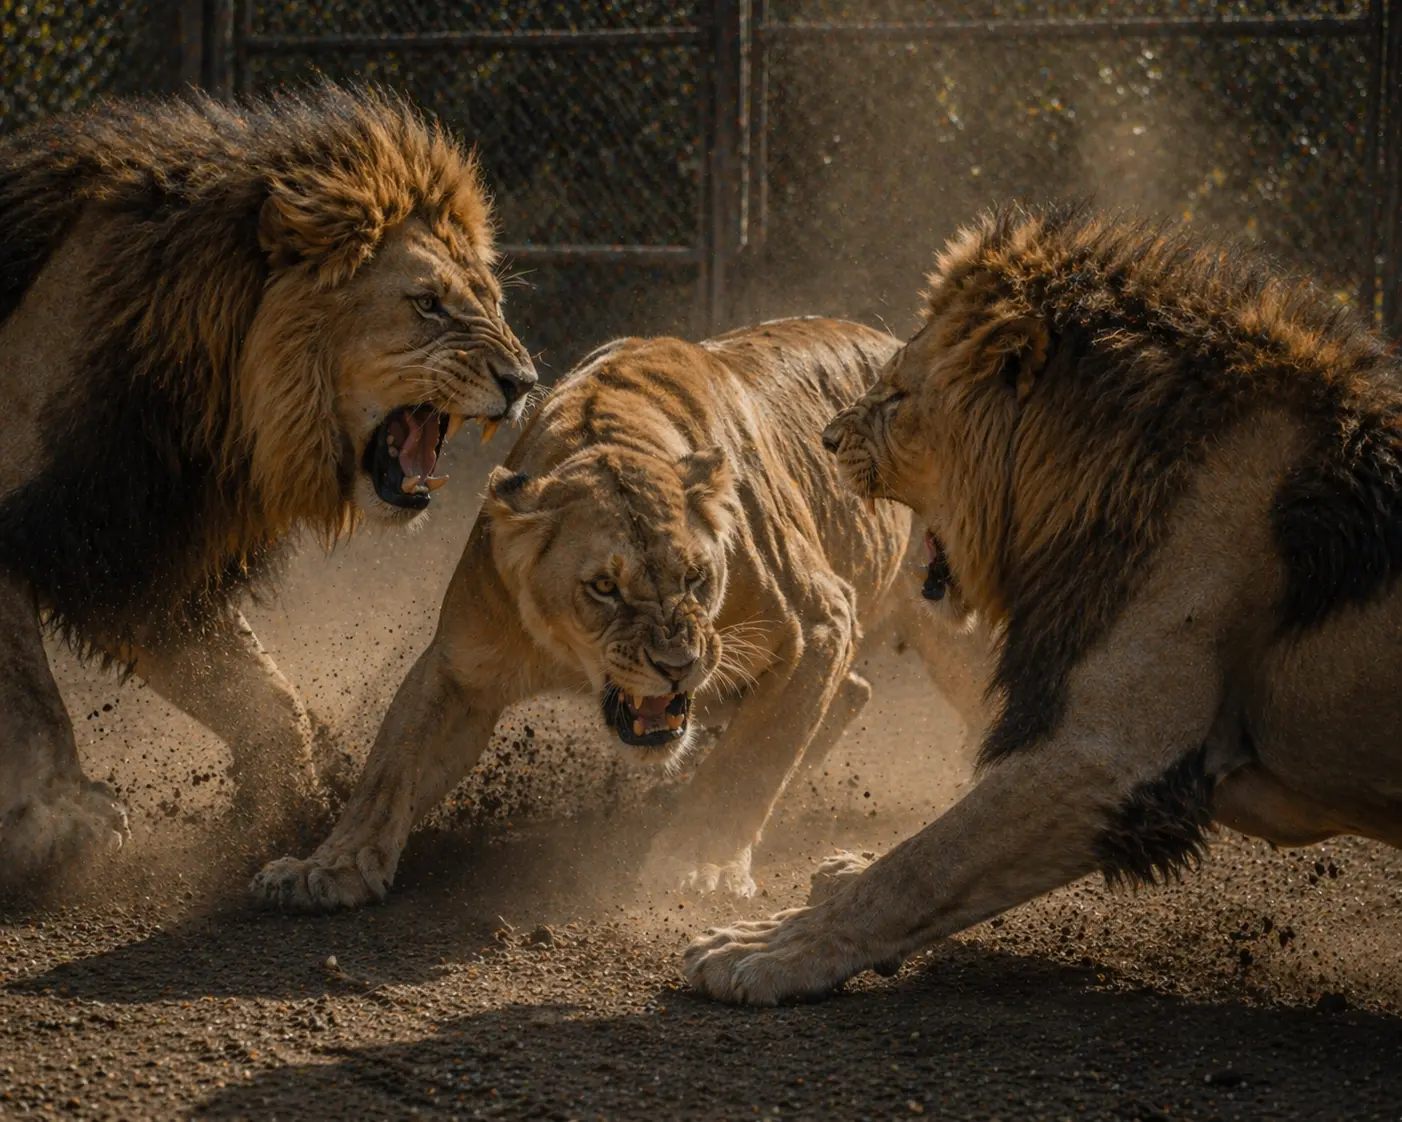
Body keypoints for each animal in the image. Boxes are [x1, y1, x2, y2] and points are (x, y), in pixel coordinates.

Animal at [0, 83, 537, 891]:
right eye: (427, 303)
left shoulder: (144, 559)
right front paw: (59, 822)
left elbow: (261, 694)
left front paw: (289, 801)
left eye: (491, 299)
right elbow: (28, 695)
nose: (523, 382)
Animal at [250, 316, 993, 912]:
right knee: (850, 694)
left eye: (696, 577)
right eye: (604, 587)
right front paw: (327, 867)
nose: (677, 666)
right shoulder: (460, 666)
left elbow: (748, 765)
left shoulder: (817, 622)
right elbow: (389, 769)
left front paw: (698, 865)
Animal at [683, 201, 1402, 1005]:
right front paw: (841, 869)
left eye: (897, 395)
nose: (828, 438)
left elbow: (926, 862)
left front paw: (775, 945)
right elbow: (931, 848)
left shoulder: (1108, 753)